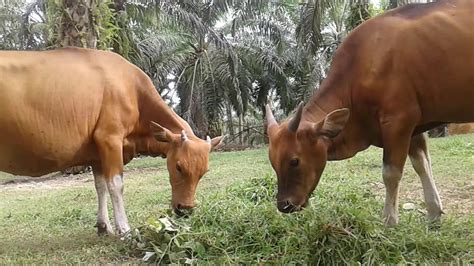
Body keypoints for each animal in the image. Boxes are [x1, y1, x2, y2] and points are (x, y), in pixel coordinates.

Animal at [0, 47, 222, 235]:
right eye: (178, 167)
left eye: (204, 172)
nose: (185, 209)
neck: (132, 89)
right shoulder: (109, 139)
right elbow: (116, 185)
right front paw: (124, 229)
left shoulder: (97, 155)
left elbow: (100, 186)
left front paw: (103, 226)